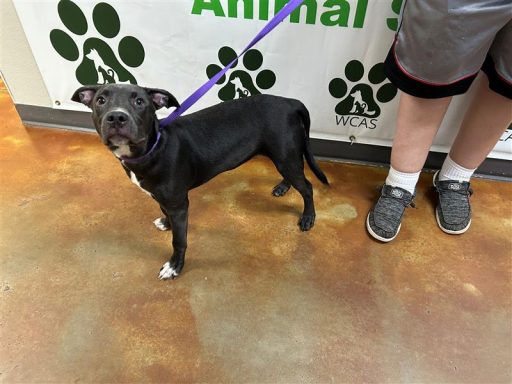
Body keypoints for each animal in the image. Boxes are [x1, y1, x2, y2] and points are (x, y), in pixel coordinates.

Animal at [71, 85, 328, 280]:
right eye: (101, 100)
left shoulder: (179, 204)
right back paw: (283, 187)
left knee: (307, 187)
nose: (116, 116)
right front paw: (166, 223)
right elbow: (163, 210)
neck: (154, 147)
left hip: (286, 155)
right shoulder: (165, 198)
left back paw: (308, 217)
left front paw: (174, 266)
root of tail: (290, 102)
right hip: (283, 156)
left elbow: (179, 240)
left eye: (140, 101)